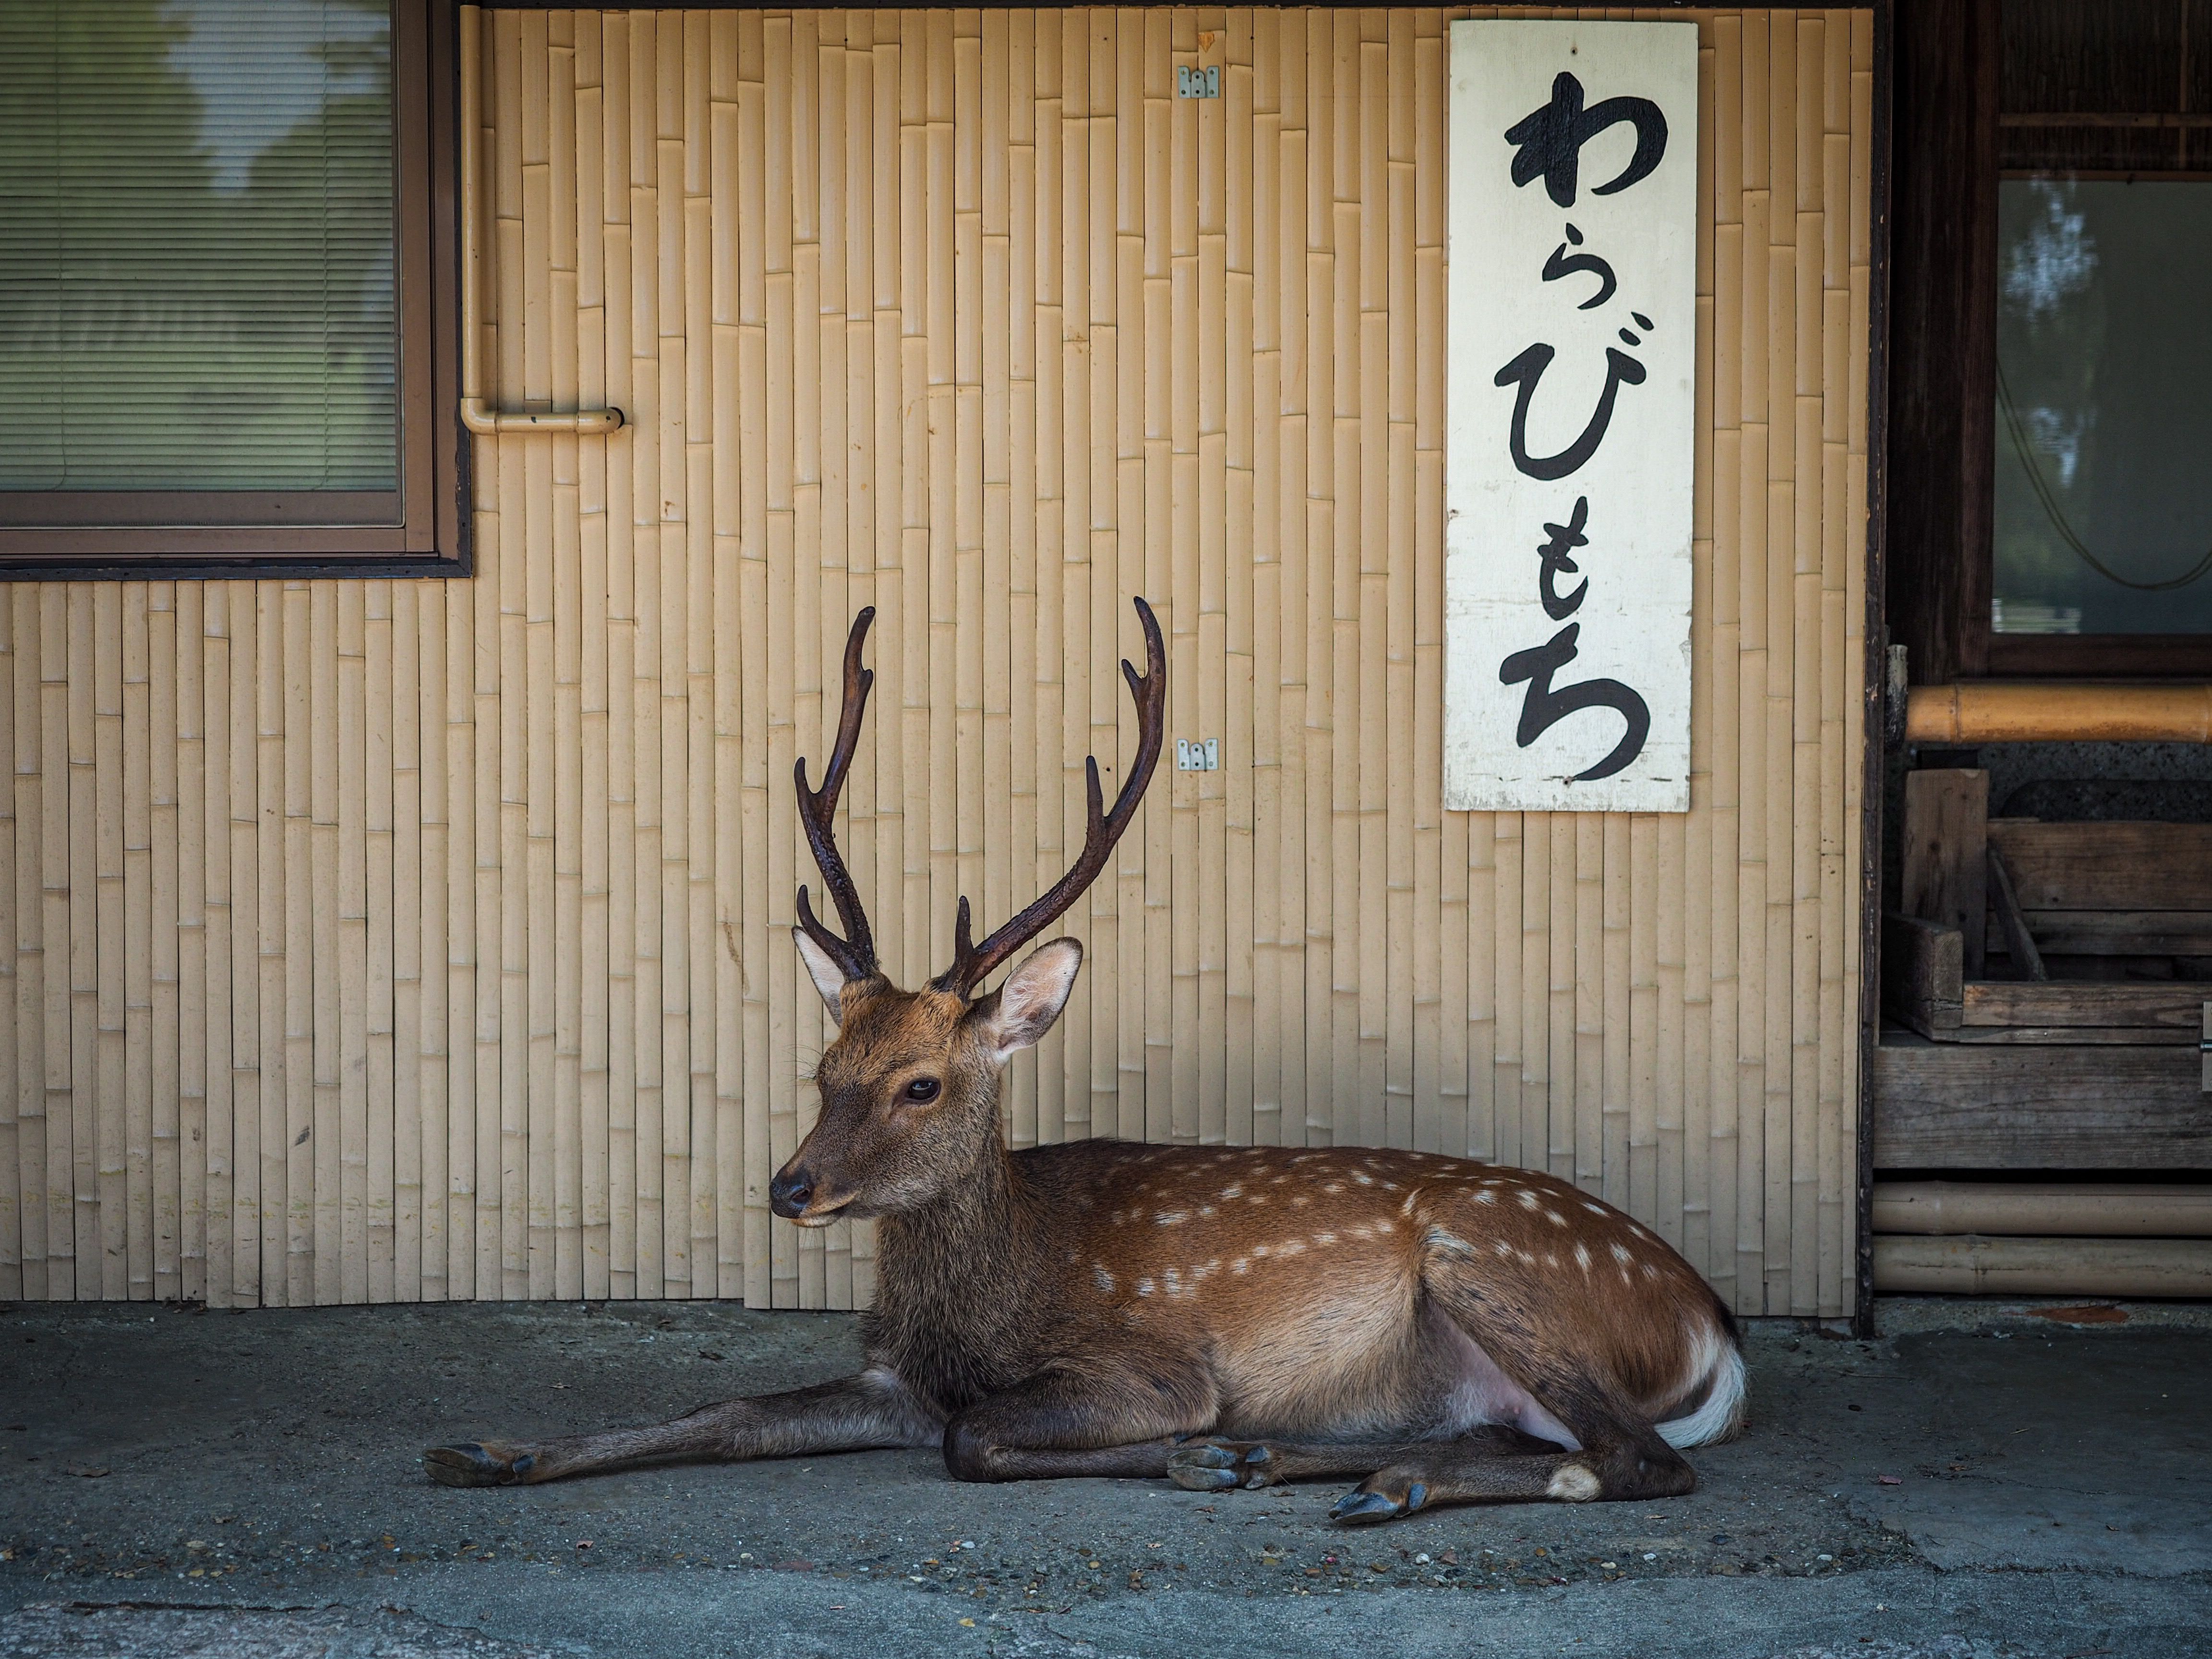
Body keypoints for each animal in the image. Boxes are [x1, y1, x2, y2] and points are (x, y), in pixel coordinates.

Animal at [425, 596, 1745, 1525]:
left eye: (922, 1081)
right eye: (823, 1064)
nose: (790, 1187)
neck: (985, 1307)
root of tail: (1713, 1332)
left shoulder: (1145, 1364)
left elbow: (978, 1440)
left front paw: (1195, 1452)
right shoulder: (894, 1375)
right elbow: (724, 1406)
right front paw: (491, 1448)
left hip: (1490, 1261)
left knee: (1640, 1459)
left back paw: (1337, 1472)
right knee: (1523, 1434)